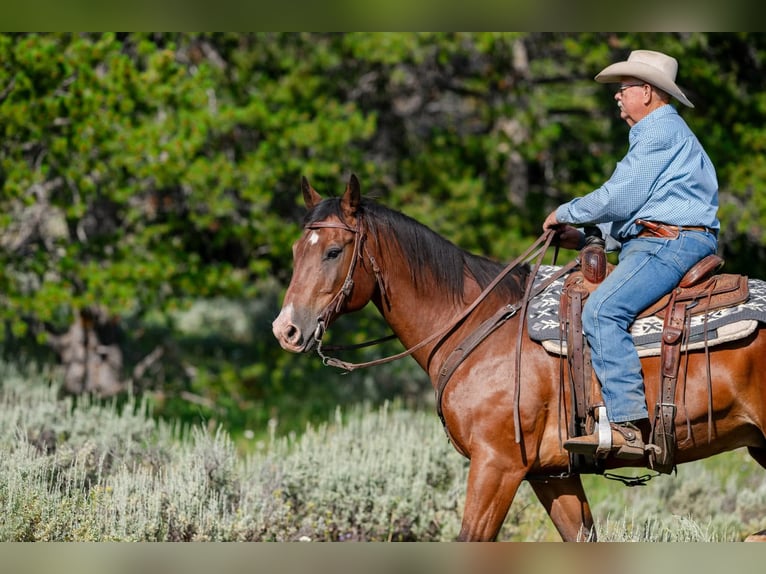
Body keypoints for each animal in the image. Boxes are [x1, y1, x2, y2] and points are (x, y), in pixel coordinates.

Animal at [272, 174, 766, 541]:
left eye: (334, 251)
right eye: (297, 251)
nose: (286, 330)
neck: (478, 325)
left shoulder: (497, 465)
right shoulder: (551, 475)